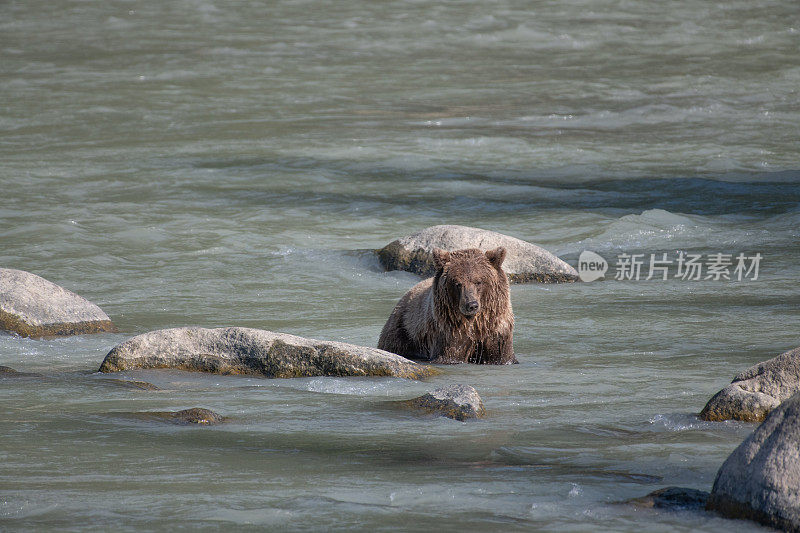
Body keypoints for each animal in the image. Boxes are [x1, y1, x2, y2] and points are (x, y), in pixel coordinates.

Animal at [378, 246, 516, 364]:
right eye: (457, 283)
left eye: (478, 281)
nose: (471, 305)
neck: (476, 323)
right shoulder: (450, 330)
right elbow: (449, 355)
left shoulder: (497, 332)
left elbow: (501, 356)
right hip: (403, 333)